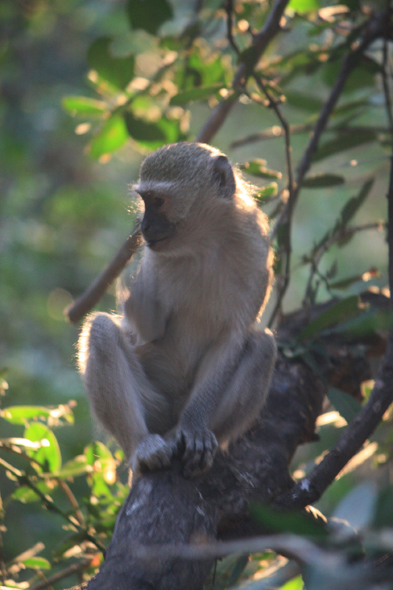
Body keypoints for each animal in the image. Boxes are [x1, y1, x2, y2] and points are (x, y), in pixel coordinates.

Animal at [77, 143, 276, 480]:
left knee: (263, 346)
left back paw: (188, 436)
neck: (207, 244)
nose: (144, 227)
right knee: (102, 331)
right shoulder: (155, 263)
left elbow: (232, 338)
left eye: (158, 201)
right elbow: (146, 330)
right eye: (145, 200)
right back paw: (142, 446)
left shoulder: (257, 252)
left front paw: (194, 428)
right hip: (155, 406)